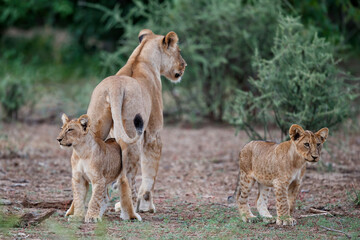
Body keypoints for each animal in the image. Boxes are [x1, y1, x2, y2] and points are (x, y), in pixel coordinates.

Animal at [67, 28, 187, 214]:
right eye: (179, 50)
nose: (184, 65)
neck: (141, 58)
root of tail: (114, 87)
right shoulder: (153, 132)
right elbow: (150, 171)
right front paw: (147, 206)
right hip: (132, 133)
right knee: (127, 176)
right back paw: (130, 209)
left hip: (94, 125)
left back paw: (75, 210)